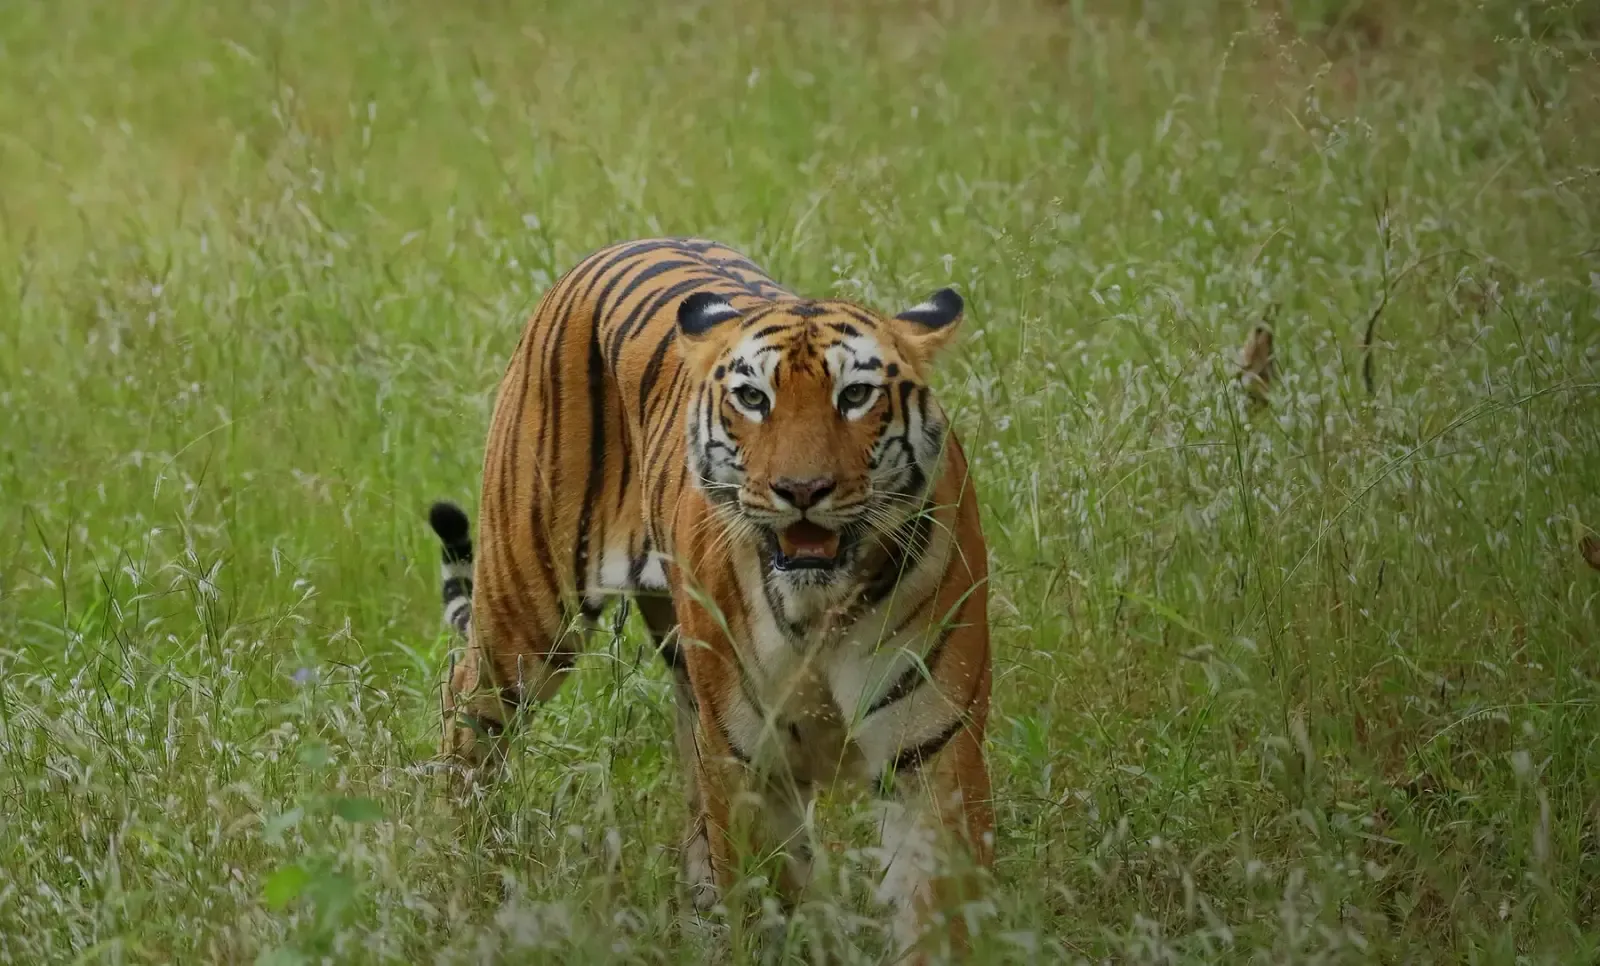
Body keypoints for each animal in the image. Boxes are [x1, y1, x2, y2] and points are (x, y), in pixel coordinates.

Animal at [427, 237, 992, 960]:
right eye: (753, 398)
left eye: (856, 395)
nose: (801, 490)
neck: (820, 607)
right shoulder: (752, 766)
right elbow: (770, 906)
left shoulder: (932, 756)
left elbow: (940, 920)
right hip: (527, 617)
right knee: (466, 710)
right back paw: (457, 877)